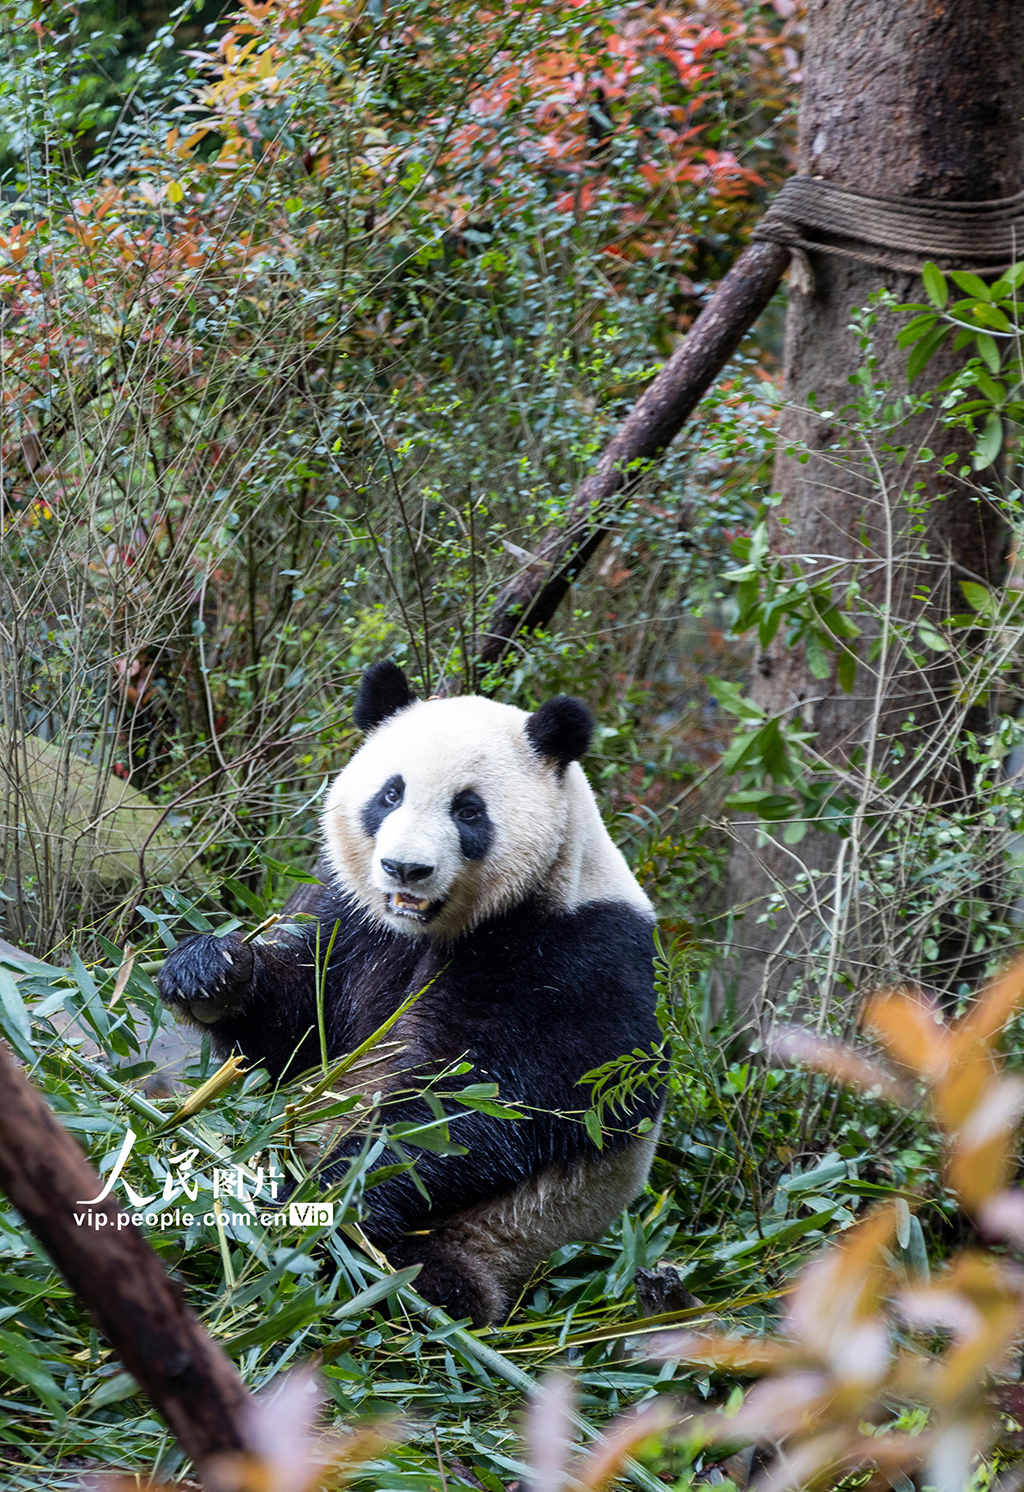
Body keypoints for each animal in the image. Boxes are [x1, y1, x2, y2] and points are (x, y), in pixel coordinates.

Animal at [156, 659, 662, 1324]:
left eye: (469, 811)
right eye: (390, 794)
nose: (405, 869)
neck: (435, 927)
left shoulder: (575, 958)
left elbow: (477, 1106)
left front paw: (322, 1198)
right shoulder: (354, 920)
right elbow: (297, 1031)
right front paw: (209, 971)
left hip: (495, 1239)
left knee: (432, 1278)